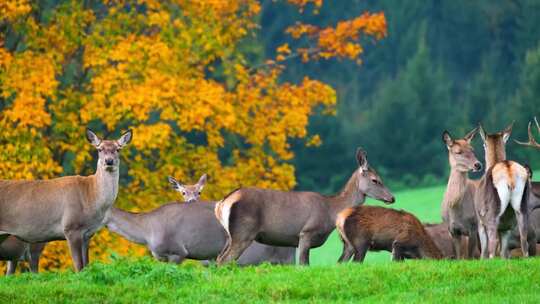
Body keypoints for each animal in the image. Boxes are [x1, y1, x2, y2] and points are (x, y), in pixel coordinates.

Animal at [0, 128, 132, 270]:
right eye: (99, 149)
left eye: (118, 149)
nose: (109, 161)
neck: (90, 196)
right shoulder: (71, 227)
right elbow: (79, 267)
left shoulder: (88, 234)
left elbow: (86, 266)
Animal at [215, 148, 396, 264]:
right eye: (375, 180)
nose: (392, 198)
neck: (331, 210)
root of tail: (223, 203)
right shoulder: (306, 233)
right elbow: (303, 265)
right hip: (244, 231)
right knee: (225, 261)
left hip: (230, 235)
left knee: (218, 259)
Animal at [440, 127, 484, 258]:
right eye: (458, 152)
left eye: (472, 149)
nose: (478, 165)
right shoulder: (452, 230)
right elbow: (459, 257)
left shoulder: (473, 226)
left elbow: (469, 257)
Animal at [474, 123, 528, 258]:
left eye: (483, 144)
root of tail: (508, 171)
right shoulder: (506, 227)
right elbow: (504, 254)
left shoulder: (480, 220)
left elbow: (483, 252)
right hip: (522, 208)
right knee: (524, 240)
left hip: (492, 213)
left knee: (492, 245)